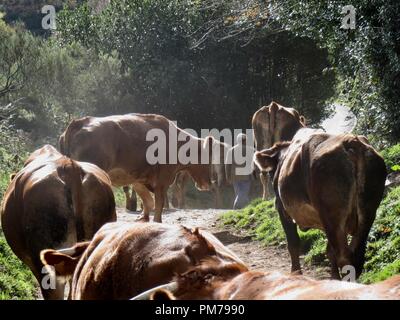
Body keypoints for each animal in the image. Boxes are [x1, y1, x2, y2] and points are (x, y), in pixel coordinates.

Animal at [59, 114, 228, 222]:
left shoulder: (138, 179)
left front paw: (143, 217)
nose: (208, 183)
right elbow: (158, 203)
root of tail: (80, 122)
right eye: (208, 158)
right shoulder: (162, 180)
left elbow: (147, 200)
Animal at [253, 129, 388, 278]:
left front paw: (296, 273)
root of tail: (351, 142)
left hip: (332, 217)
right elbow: (329, 251)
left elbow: (293, 244)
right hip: (367, 214)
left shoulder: (283, 211)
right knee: (356, 257)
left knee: (344, 257)